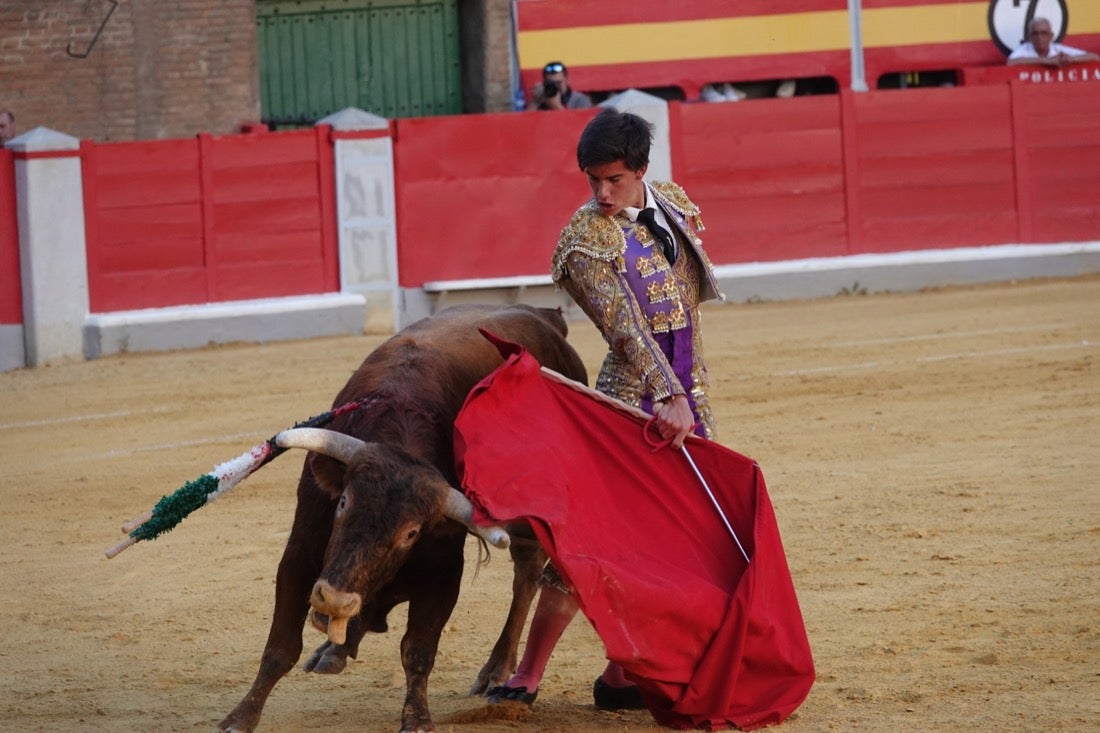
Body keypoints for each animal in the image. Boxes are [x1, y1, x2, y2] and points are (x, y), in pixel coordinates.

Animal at [216, 301, 594, 730]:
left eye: (411, 533)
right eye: (342, 503)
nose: (335, 600)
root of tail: (545, 314)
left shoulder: (442, 573)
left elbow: (418, 650)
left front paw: (417, 717)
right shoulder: (299, 556)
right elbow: (280, 647)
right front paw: (241, 716)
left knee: (526, 577)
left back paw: (496, 670)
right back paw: (335, 649)